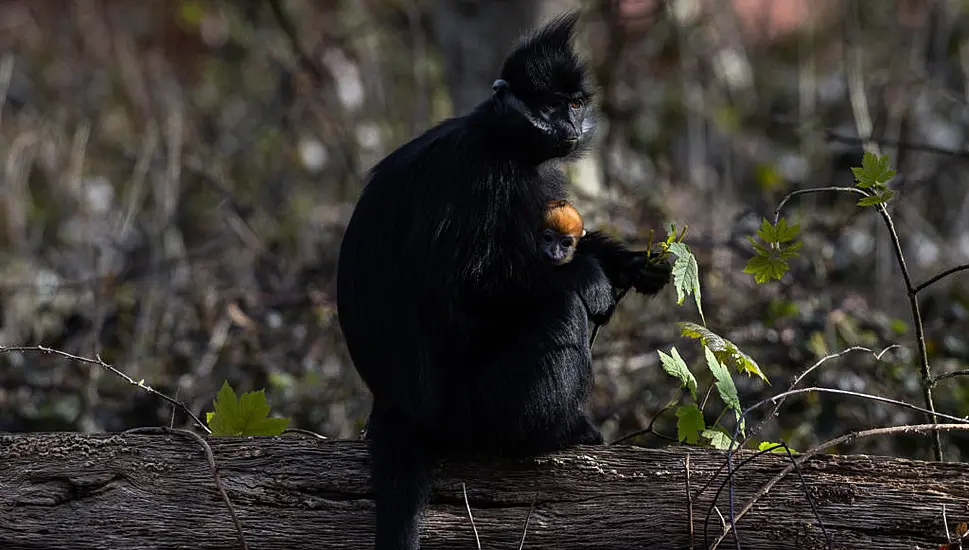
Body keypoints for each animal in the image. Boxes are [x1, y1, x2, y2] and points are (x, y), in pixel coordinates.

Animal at [336, 10, 668, 548]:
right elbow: (462, 287)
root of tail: (398, 408)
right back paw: (552, 434)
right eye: (551, 105)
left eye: (575, 103)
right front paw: (591, 277)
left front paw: (633, 263)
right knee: (560, 310)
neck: (503, 143)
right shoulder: (473, 176)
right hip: (470, 410)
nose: (569, 123)